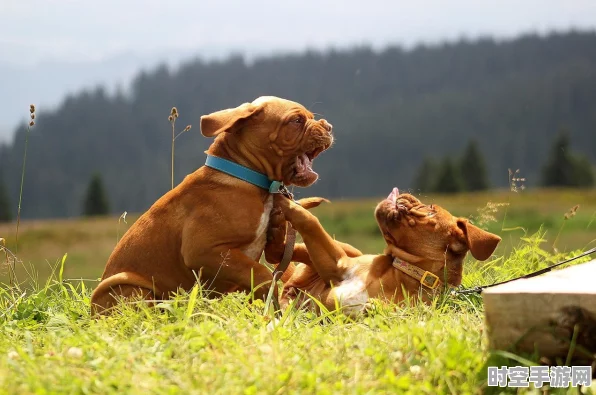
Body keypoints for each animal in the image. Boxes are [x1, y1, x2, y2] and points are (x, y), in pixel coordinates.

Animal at [92, 96, 336, 316]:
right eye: (296, 120)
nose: (329, 126)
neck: (247, 178)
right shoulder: (203, 251)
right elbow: (262, 275)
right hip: (130, 287)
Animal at [272, 189, 500, 316]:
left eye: (430, 210)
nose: (406, 195)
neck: (408, 275)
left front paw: (376, 308)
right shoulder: (338, 264)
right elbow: (310, 221)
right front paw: (284, 200)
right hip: (346, 249)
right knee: (286, 251)